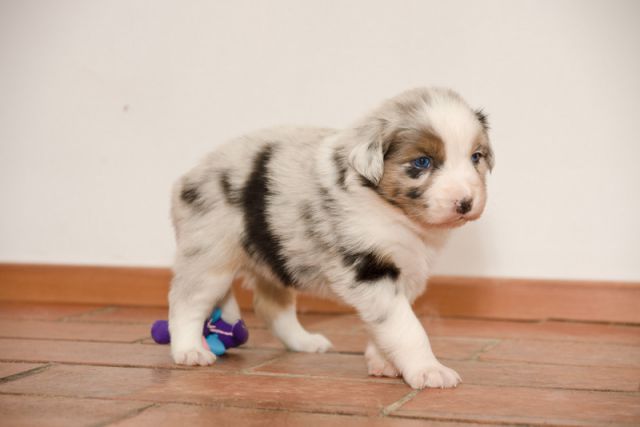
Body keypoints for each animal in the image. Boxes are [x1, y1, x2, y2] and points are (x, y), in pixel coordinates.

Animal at [168, 88, 492, 392]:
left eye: (476, 157)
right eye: (422, 162)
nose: (465, 203)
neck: (394, 213)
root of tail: (186, 179)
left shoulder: (407, 271)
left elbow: (386, 324)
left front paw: (383, 362)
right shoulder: (367, 267)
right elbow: (406, 327)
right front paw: (428, 370)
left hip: (278, 254)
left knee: (270, 306)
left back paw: (304, 342)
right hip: (210, 255)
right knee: (186, 301)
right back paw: (190, 351)